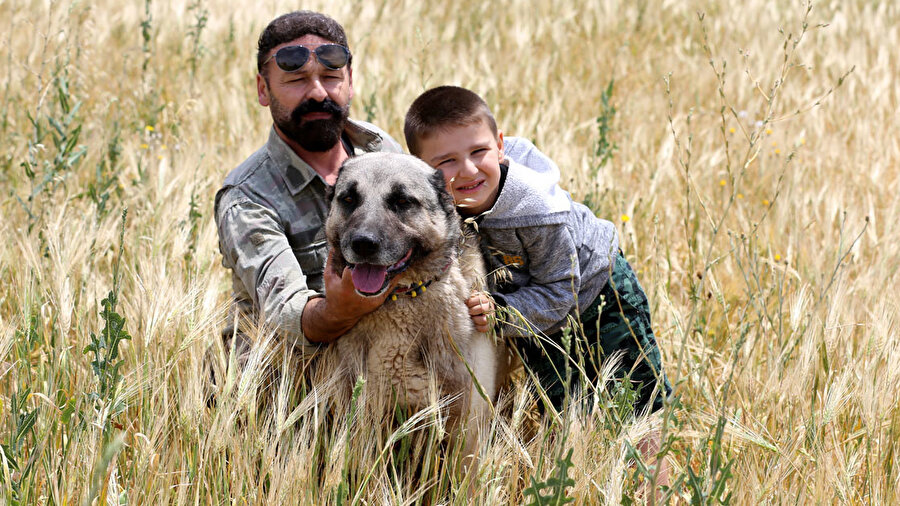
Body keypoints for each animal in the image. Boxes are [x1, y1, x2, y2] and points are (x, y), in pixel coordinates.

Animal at [316, 152, 506, 452]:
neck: (401, 297)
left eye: (402, 201)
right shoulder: (360, 413)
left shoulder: (465, 429)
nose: (363, 244)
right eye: (348, 199)